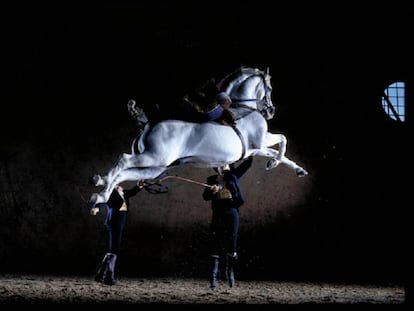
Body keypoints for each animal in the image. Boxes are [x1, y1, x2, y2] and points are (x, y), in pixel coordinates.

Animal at [88, 66, 308, 207]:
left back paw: (100, 189)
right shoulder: (261, 140)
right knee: (123, 161)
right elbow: (283, 139)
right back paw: (101, 189)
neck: (243, 108)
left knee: (123, 174)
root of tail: (148, 124)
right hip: (152, 158)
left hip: (154, 168)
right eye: (269, 87)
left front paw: (293, 168)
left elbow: (277, 150)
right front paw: (274, 163)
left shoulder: (255, 148)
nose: (271, 111)